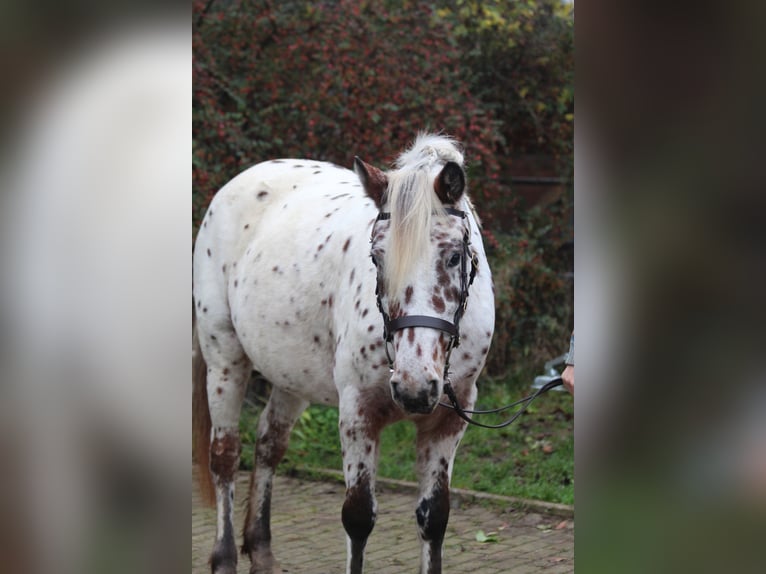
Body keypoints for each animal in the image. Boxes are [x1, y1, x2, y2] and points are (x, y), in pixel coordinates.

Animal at [192, 134, 498, 574]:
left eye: (454, 256)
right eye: (376, 257)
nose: (413, 387)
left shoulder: (449, 421)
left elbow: (433, 517)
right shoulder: (358, 412)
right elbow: (358, 517)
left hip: (291, 375)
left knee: (269, 442)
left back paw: (262, 550)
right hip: (224, 358)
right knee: (225, 455)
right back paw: (225, 557)